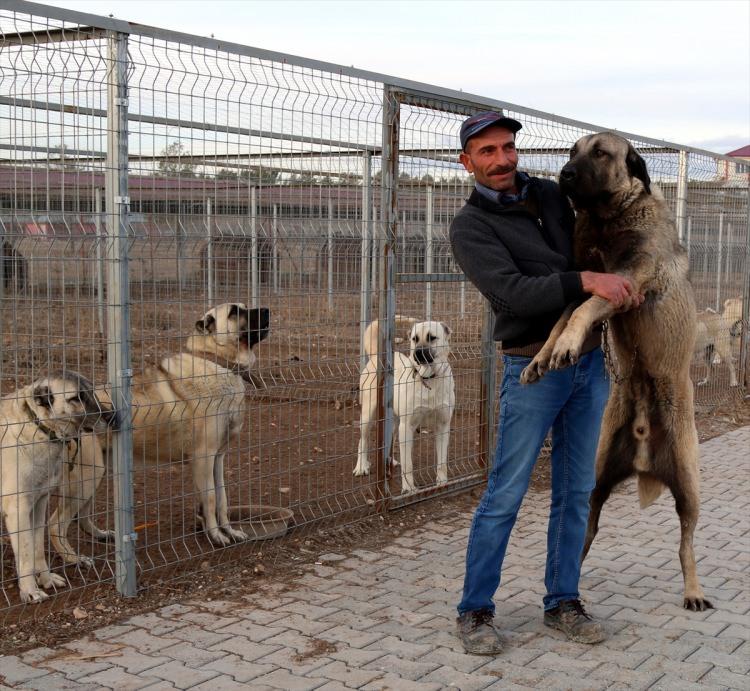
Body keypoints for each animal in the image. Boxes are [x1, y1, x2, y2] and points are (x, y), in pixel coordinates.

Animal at [0, 370, 114, 604]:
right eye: (76, 398)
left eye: (92, 392)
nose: (114, 417)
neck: (38, 427)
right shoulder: (18, 510)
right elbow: (26, 554)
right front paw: (30, 590)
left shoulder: (38, 504)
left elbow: (37, 549)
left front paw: (46, 579)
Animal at [354, 316, 456, 494]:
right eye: (414, 339)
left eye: (432, 338)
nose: (417, 354)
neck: (429, 379)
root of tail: (376, 356)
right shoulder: (407, 426)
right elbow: (408, 464)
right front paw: (409, 488)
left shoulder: (443, 425)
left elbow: (442, 462)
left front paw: (442, 483)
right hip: (368, 415)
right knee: (363, 441)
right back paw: (361, 466)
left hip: (394, 421)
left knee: (389, 440)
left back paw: (390, 462)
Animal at [520, 130, 712, 612]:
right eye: (571, 152)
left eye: (601, 153)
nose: (564, 174)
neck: (610, 217)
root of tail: (644, 454)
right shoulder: (582, 280)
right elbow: (561, 318)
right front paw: (542, 358)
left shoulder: (625, 281)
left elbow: (583, 311)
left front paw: (566, 346)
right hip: (597, 478)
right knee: (585, 531)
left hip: (689, 486)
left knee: (686, 543)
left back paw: (694, 590)